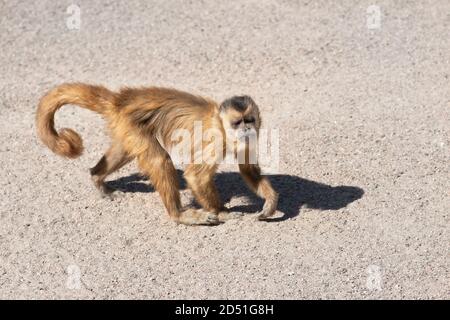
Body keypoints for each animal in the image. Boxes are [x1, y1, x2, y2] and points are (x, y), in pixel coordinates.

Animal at [36, 84, 278, 226]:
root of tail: (120, 99)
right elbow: (195, 176)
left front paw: (270, 202)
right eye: (237, 122)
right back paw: (178, 215)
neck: (221, 125)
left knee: (125, 151)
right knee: (160, 160)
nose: (246, 129)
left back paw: (97, 177)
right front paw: (221, 211)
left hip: (124, 126)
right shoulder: (216, 140)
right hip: (131, 123)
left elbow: (248, 169)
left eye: (249, 120)